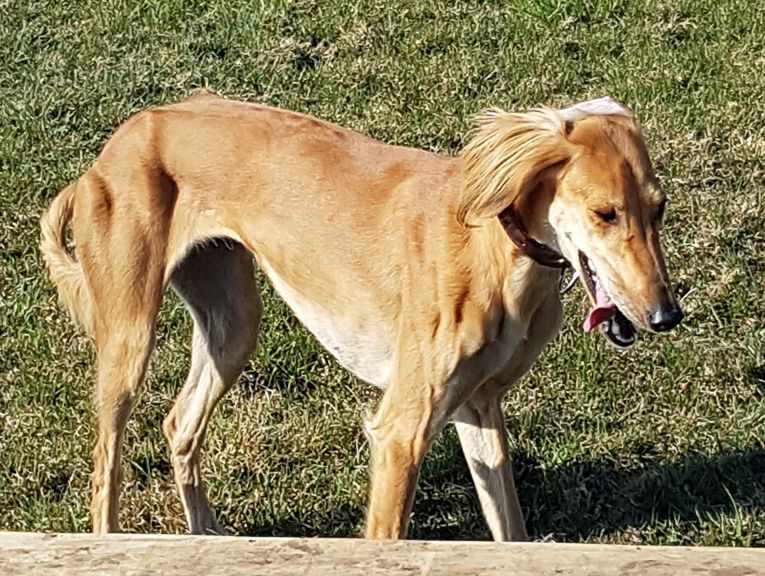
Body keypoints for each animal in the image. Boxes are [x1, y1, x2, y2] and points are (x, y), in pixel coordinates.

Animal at [40, 92, 682, 540]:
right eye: (605, 213)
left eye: (658, 208)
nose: (666, 316)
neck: (495, 248)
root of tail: (123, 136)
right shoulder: (401, 430)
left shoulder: (478, 409)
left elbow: (510, 528)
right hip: (129, 340)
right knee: (107, 465)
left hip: (233, 323)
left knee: (179, 422)